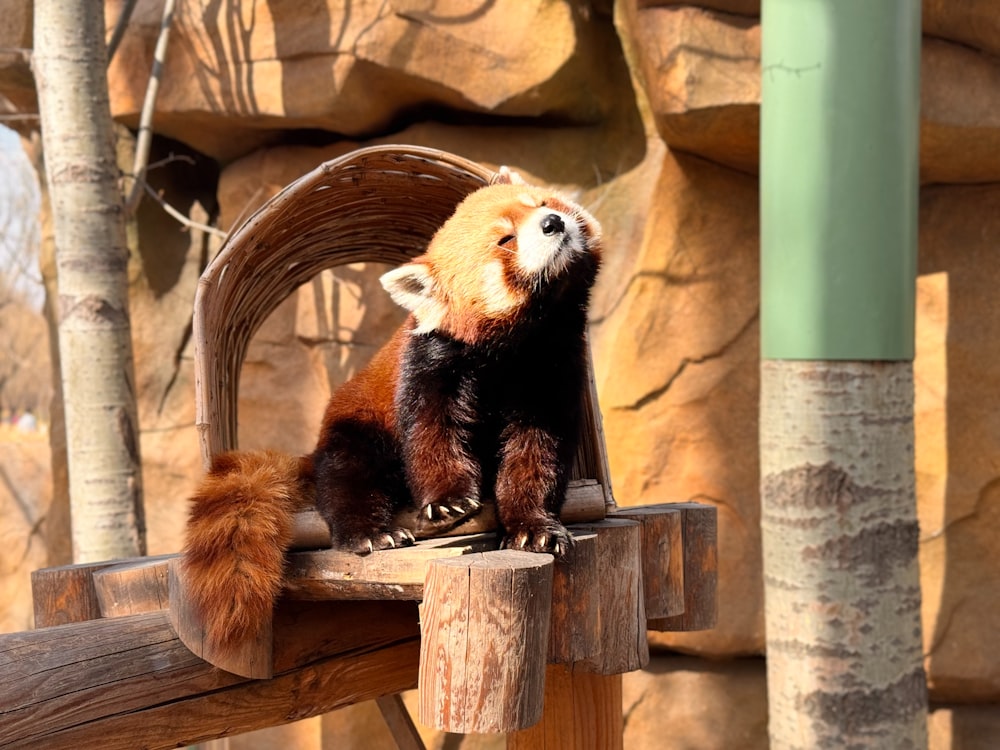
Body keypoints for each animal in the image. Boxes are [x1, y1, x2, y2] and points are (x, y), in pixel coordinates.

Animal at [182, 170, 600, 652]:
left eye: (542, 203)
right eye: (505, 239)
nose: (553, 222)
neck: (520, 343)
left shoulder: (551, 372)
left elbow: (536, 454)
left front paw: (535, 527)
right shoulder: (432, 362)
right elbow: (431, 434)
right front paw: (449, 499)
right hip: (355, 427)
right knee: (348, 476)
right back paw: (370, 530)